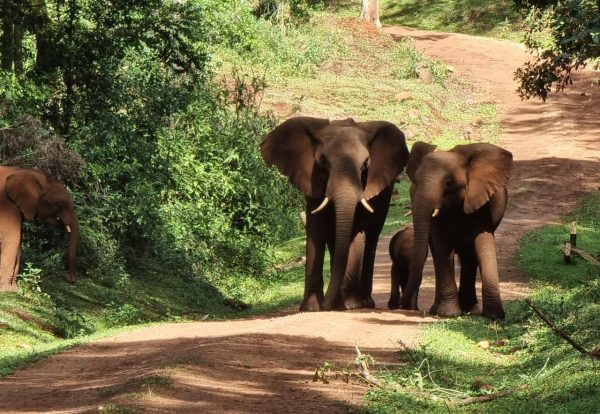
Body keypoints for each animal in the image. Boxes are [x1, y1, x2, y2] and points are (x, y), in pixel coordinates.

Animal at [262, 116, 408, 310]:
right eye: (323, 160)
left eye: (365, 164)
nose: (327, 305)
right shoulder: (313, 181)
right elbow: (316, 231)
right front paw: (311, 309)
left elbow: (355, 232)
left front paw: (350, 305)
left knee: (372, 236)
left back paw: (365, 302)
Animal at [400, 141, 512, 318]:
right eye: (415, 181)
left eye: (449, 182)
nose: (401, 305)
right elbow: (442, 245)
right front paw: (449, 314)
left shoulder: (481, 203)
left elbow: (484, 242)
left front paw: (494, 316)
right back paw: (441, 310)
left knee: (469, 255)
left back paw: (470, 309)